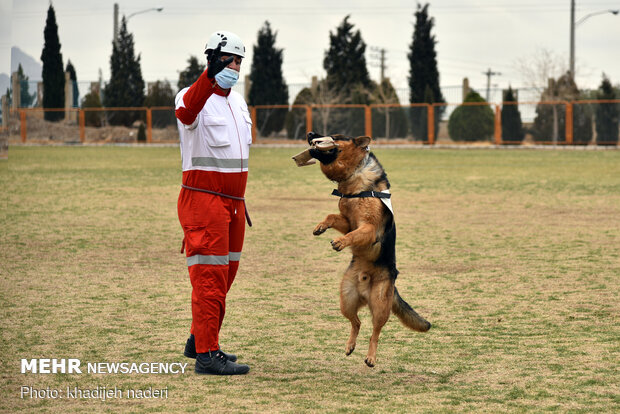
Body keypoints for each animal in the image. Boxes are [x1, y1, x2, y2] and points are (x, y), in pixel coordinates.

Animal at [306, 132, 432, 366]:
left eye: (335, 136)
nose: (310, 134)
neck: (355, 176)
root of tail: (364, 288)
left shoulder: (369, 229)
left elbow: (353, 235)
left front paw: (340, 242)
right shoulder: (348, 221)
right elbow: (332, 216)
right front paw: (321, 226)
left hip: (380, 305)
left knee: (375, 331)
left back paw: (371, 357)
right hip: (346, 300)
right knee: (357, 322)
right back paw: (350, 345)